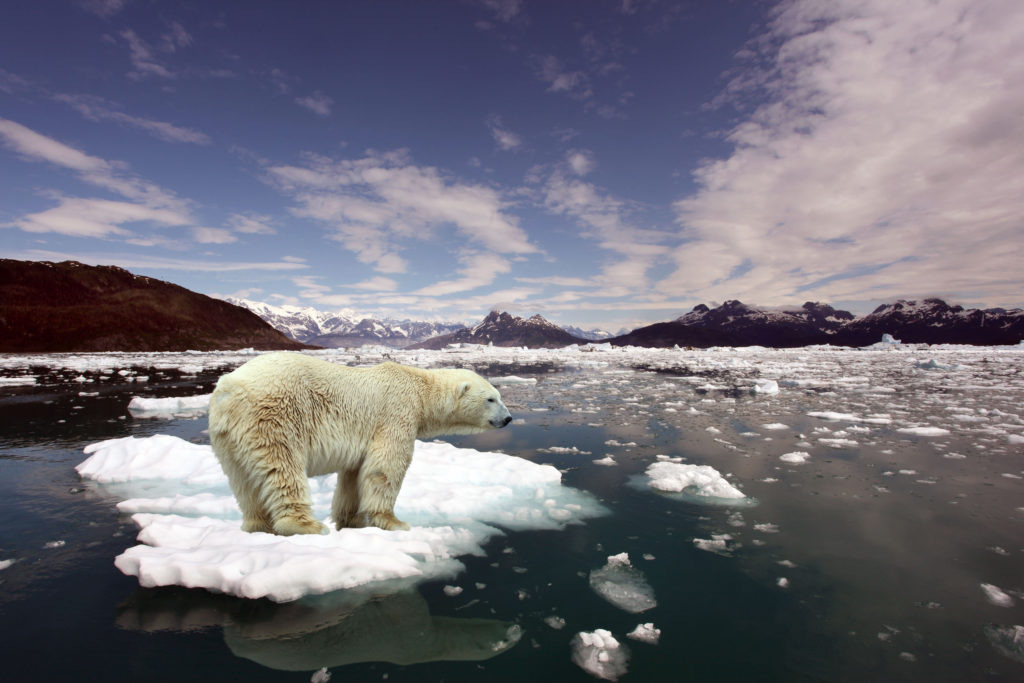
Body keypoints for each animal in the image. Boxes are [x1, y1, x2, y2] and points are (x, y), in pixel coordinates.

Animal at [207, 356, 512, 536]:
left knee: (243, 481)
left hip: (227, 437)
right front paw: (393, 522)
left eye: (498, 396)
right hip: (274, 416)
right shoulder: (396, 413)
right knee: (283, 468)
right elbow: (386, 466)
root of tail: (229, 389)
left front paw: (351, 520)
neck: (419, 389)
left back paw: (257, 525)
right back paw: (306, 525)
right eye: (491, 399)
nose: (508, 418)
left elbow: (354, 475)